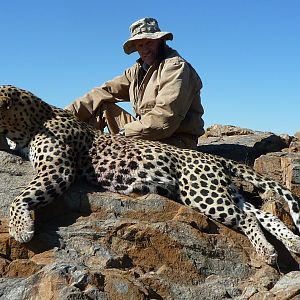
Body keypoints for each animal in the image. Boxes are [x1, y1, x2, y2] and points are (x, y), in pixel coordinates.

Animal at [0, 84, 300, 262]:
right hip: (227, 192)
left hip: (202, 193)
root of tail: (215, 158)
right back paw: (293, 242)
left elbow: (20, 197)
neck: (29, 121)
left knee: (247, 218)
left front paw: (21, 229)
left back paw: (267, 251)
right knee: (263, 214)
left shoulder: (58, 170)